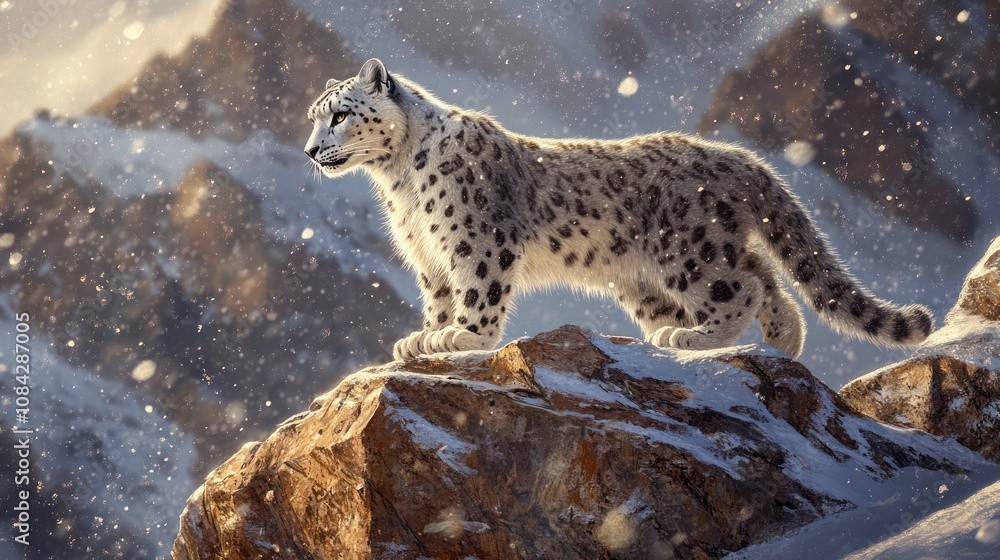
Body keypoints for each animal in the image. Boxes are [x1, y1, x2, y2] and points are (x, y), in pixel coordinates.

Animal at [304, 58, 933, 361]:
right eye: (315, 114)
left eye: (340, 114)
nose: (310, 150)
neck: (399, 182)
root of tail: (735, 155)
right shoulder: (429, 255)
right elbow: (438, 298)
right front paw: (424, 337)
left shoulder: (476, 239)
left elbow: (479, 291)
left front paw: (464, 338)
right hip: (667, 268)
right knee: (768, 278)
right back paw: (781, 346)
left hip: (689, 250)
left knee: (743, 288)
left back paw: (691, 339)